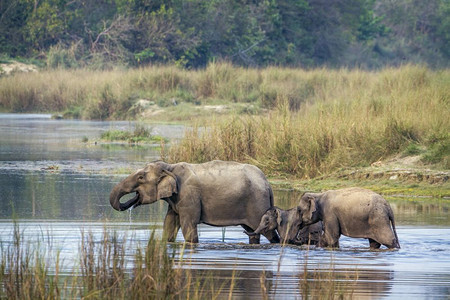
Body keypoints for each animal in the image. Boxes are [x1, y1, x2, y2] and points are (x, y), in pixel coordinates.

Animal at [109, 159, 280, 244]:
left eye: (140, 177)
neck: (170, 167)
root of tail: (267, 183)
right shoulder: (176, 199)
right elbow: (169, 223)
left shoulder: (188, 194)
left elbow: (188, 225)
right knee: (253, 232)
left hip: (257, 203)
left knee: (268, 232)